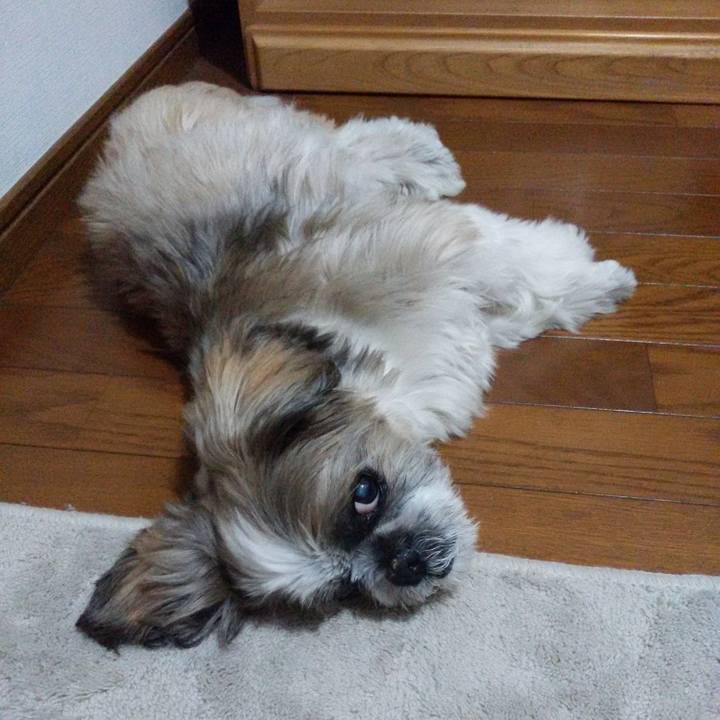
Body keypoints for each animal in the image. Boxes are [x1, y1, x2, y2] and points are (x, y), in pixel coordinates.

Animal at [76, 82, 636, 649]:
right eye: (344, 588)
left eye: (364, 493)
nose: (403, 561)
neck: (388, 370)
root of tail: (122, 119)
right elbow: (521, 302)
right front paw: (584, 288)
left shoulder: (440, 249)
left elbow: (522, 263)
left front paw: (596, 275)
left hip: (282, 139)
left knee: (349, 141)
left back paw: (424, 155)